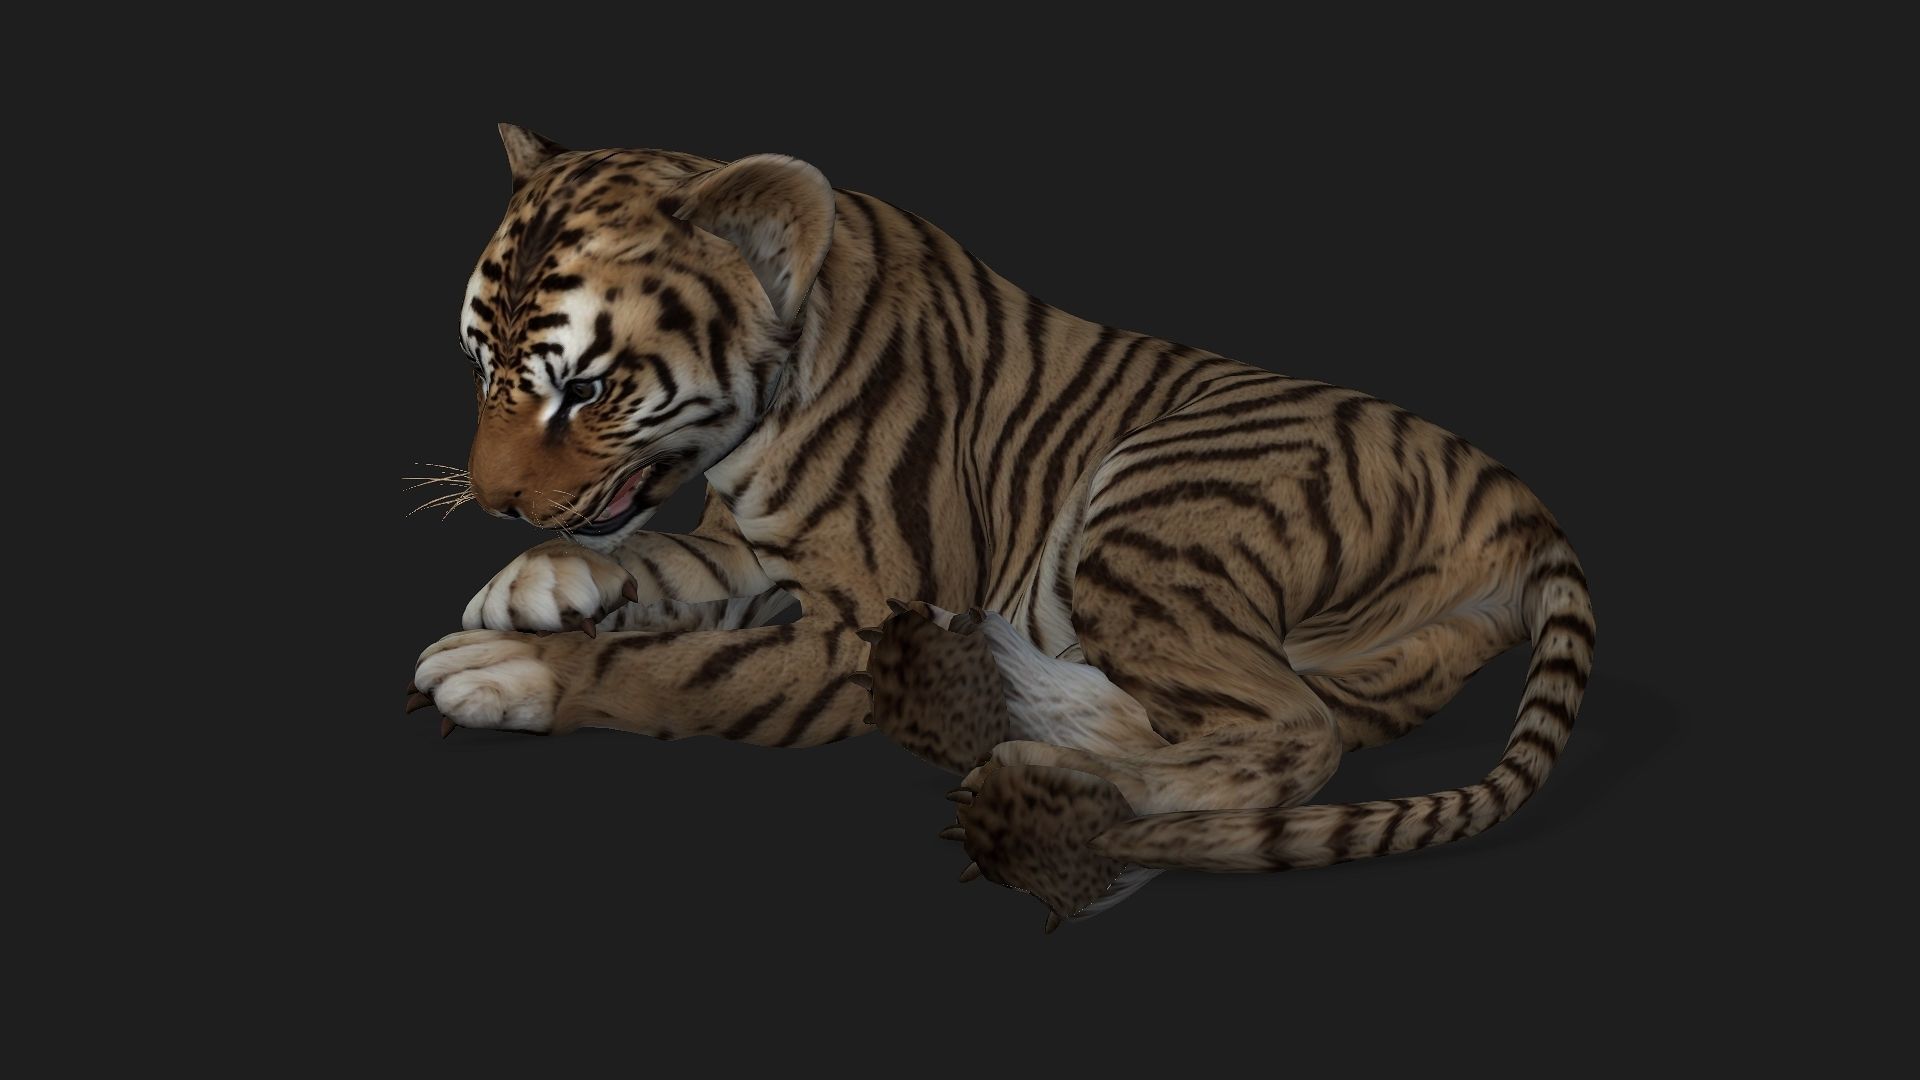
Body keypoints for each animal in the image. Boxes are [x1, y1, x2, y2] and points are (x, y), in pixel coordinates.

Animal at [405, 124, 1597, 930]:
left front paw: (506, 670)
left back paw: (1035, 777)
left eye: (585, 390)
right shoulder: (753, 550)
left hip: (1153, 501)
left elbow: (680, 666)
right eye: (478, 366)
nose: (494, 502)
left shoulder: (860, 625)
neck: (761, 416)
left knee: (1295, 732)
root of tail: (1520, 501)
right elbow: (654, 557)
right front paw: (528, 584)